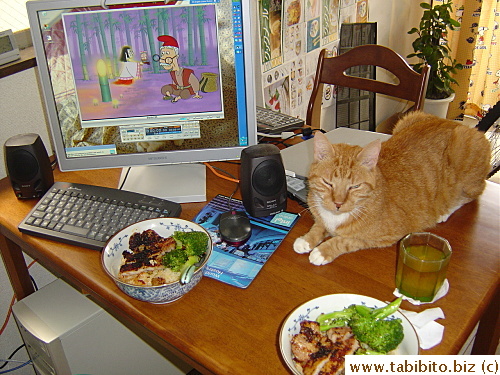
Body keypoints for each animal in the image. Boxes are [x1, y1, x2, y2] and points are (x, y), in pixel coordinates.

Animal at [294, 112, 490, 268]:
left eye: (354, 186)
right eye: (328, 183)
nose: (338, 203)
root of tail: (455, 123)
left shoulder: (384, 237)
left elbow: (346, 240)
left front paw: (323, 251)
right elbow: (318, 226)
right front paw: (306, 240)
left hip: (465, 153)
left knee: (474, 192)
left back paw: (444, 211)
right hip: (409, 119)